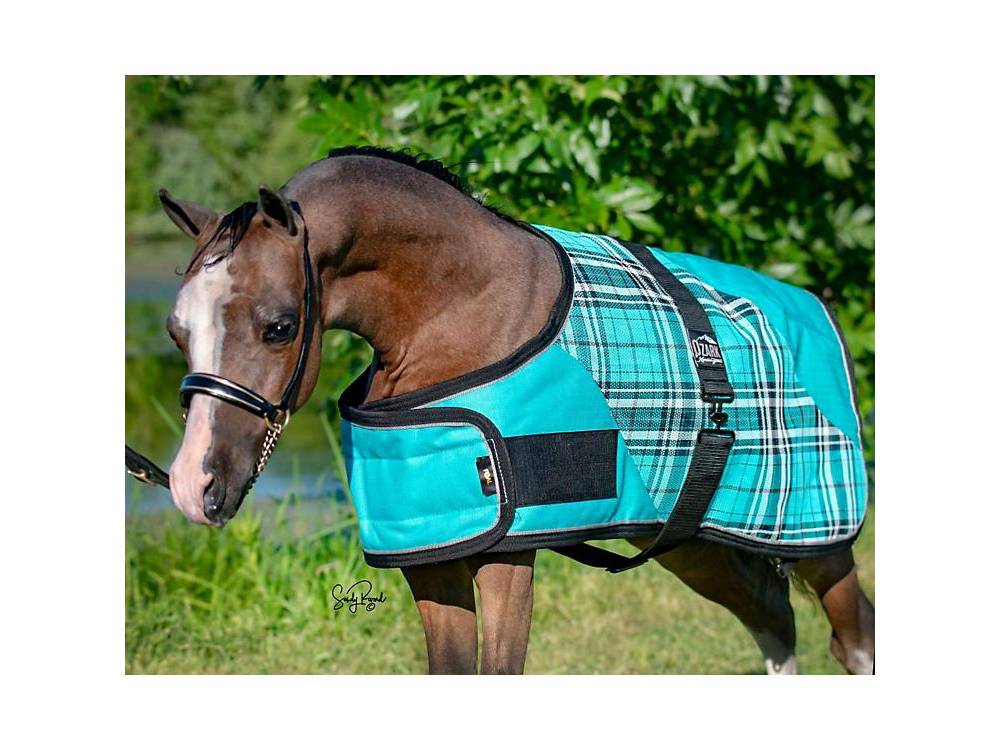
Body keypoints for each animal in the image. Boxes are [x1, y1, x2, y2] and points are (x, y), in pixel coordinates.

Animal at [151, 146, 874, 674]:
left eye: (278, 326)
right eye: (176, 331)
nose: (191, 485)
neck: (462, 309)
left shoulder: (506, 559)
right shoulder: (431, 559)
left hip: (818, 541)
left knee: (852, 634)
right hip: (692, 544)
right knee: (773, 617)